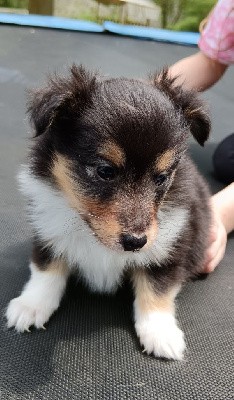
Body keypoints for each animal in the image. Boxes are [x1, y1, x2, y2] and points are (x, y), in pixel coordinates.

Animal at [5, 65, 210, 360]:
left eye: (161, 178)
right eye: (105, 171)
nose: (136, 242)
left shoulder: (171, 245)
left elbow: (158, 288)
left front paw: (161, 333)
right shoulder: (48, 230)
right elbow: (45, 270)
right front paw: (30, 306)